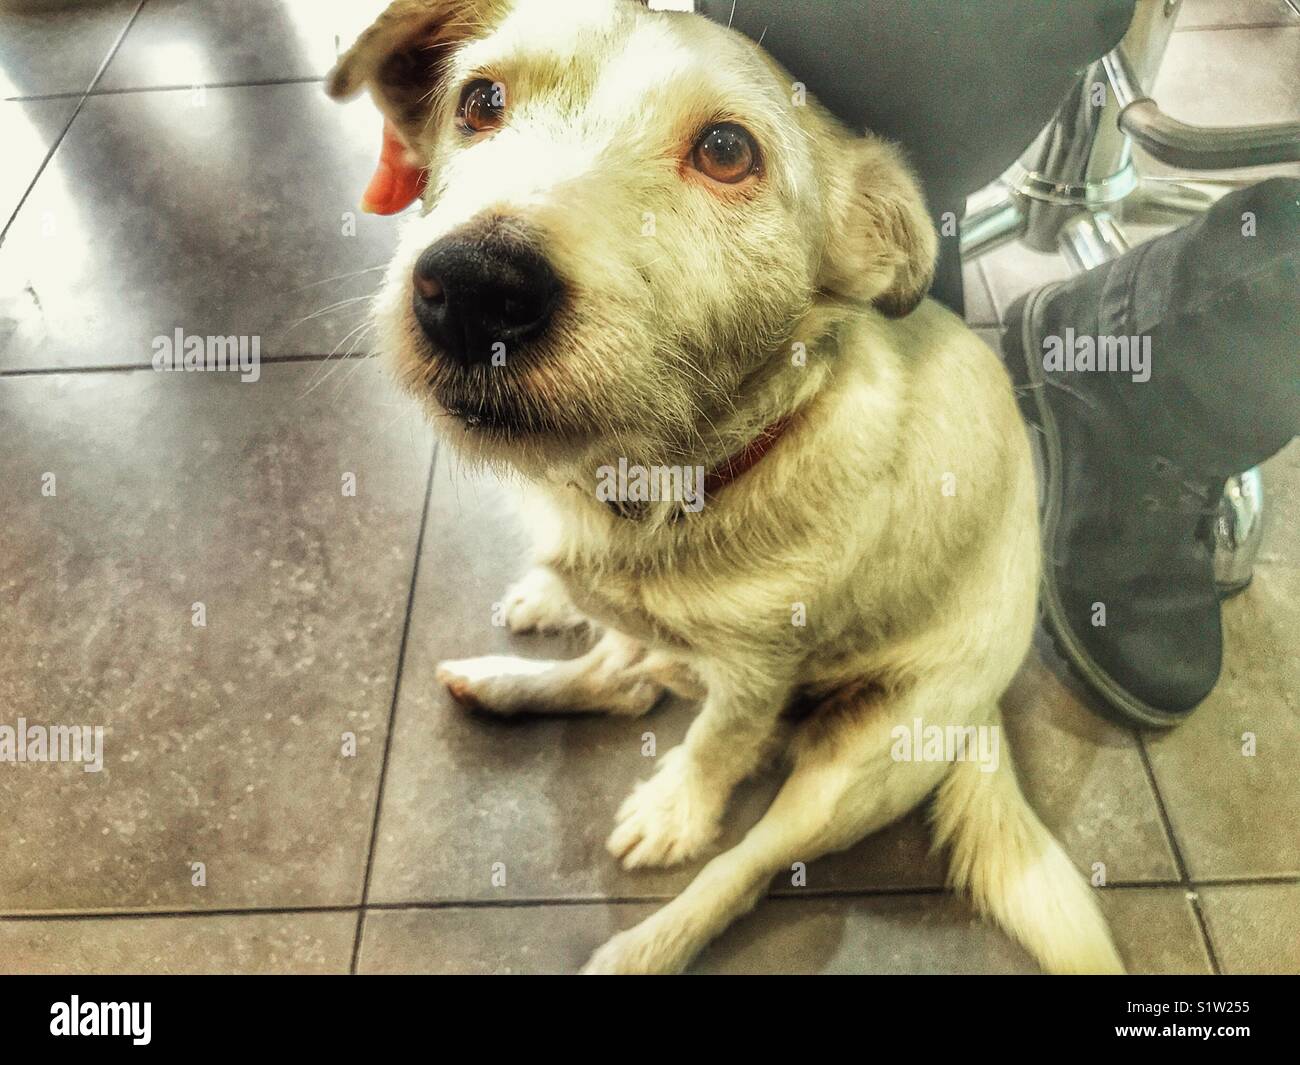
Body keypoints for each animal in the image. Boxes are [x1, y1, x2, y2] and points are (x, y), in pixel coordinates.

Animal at [327, 0, 1128, 972]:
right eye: (479, 100)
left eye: (725, 150)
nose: (474, 287)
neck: (662, 480)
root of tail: (984, 717)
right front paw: (549, 596)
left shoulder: (759, 674)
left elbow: (718, 744)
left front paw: (679, 806)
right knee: (627, 674)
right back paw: (515, 667)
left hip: (856, 765)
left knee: (739, 865)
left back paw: (641, 941)